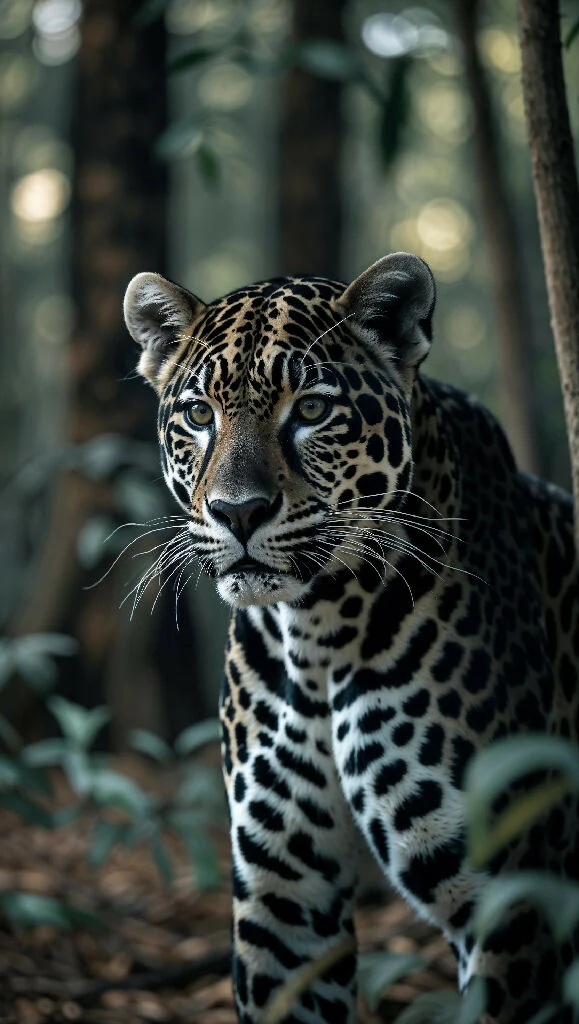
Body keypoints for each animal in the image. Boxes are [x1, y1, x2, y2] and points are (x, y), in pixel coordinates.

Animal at [123, 252, 579, 1024]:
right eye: (198, 414)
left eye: (311, 410)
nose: (237, 512)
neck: (319, 629)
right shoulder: (283, 896)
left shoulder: (515, 905)